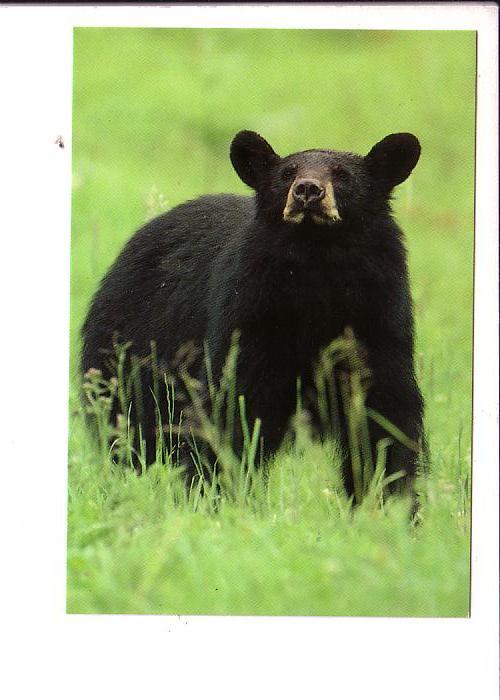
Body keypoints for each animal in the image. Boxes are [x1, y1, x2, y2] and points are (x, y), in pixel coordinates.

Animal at [81, 131, 422, 500]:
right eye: (287, 172)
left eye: (341, 174)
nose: (308, 190)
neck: (316, 261)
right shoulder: (250, 313)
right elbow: (232, 405)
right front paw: (216, 492)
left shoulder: (379, 315)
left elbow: (384, 415)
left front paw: (388, 499)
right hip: (131, 351)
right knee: (127, 425)